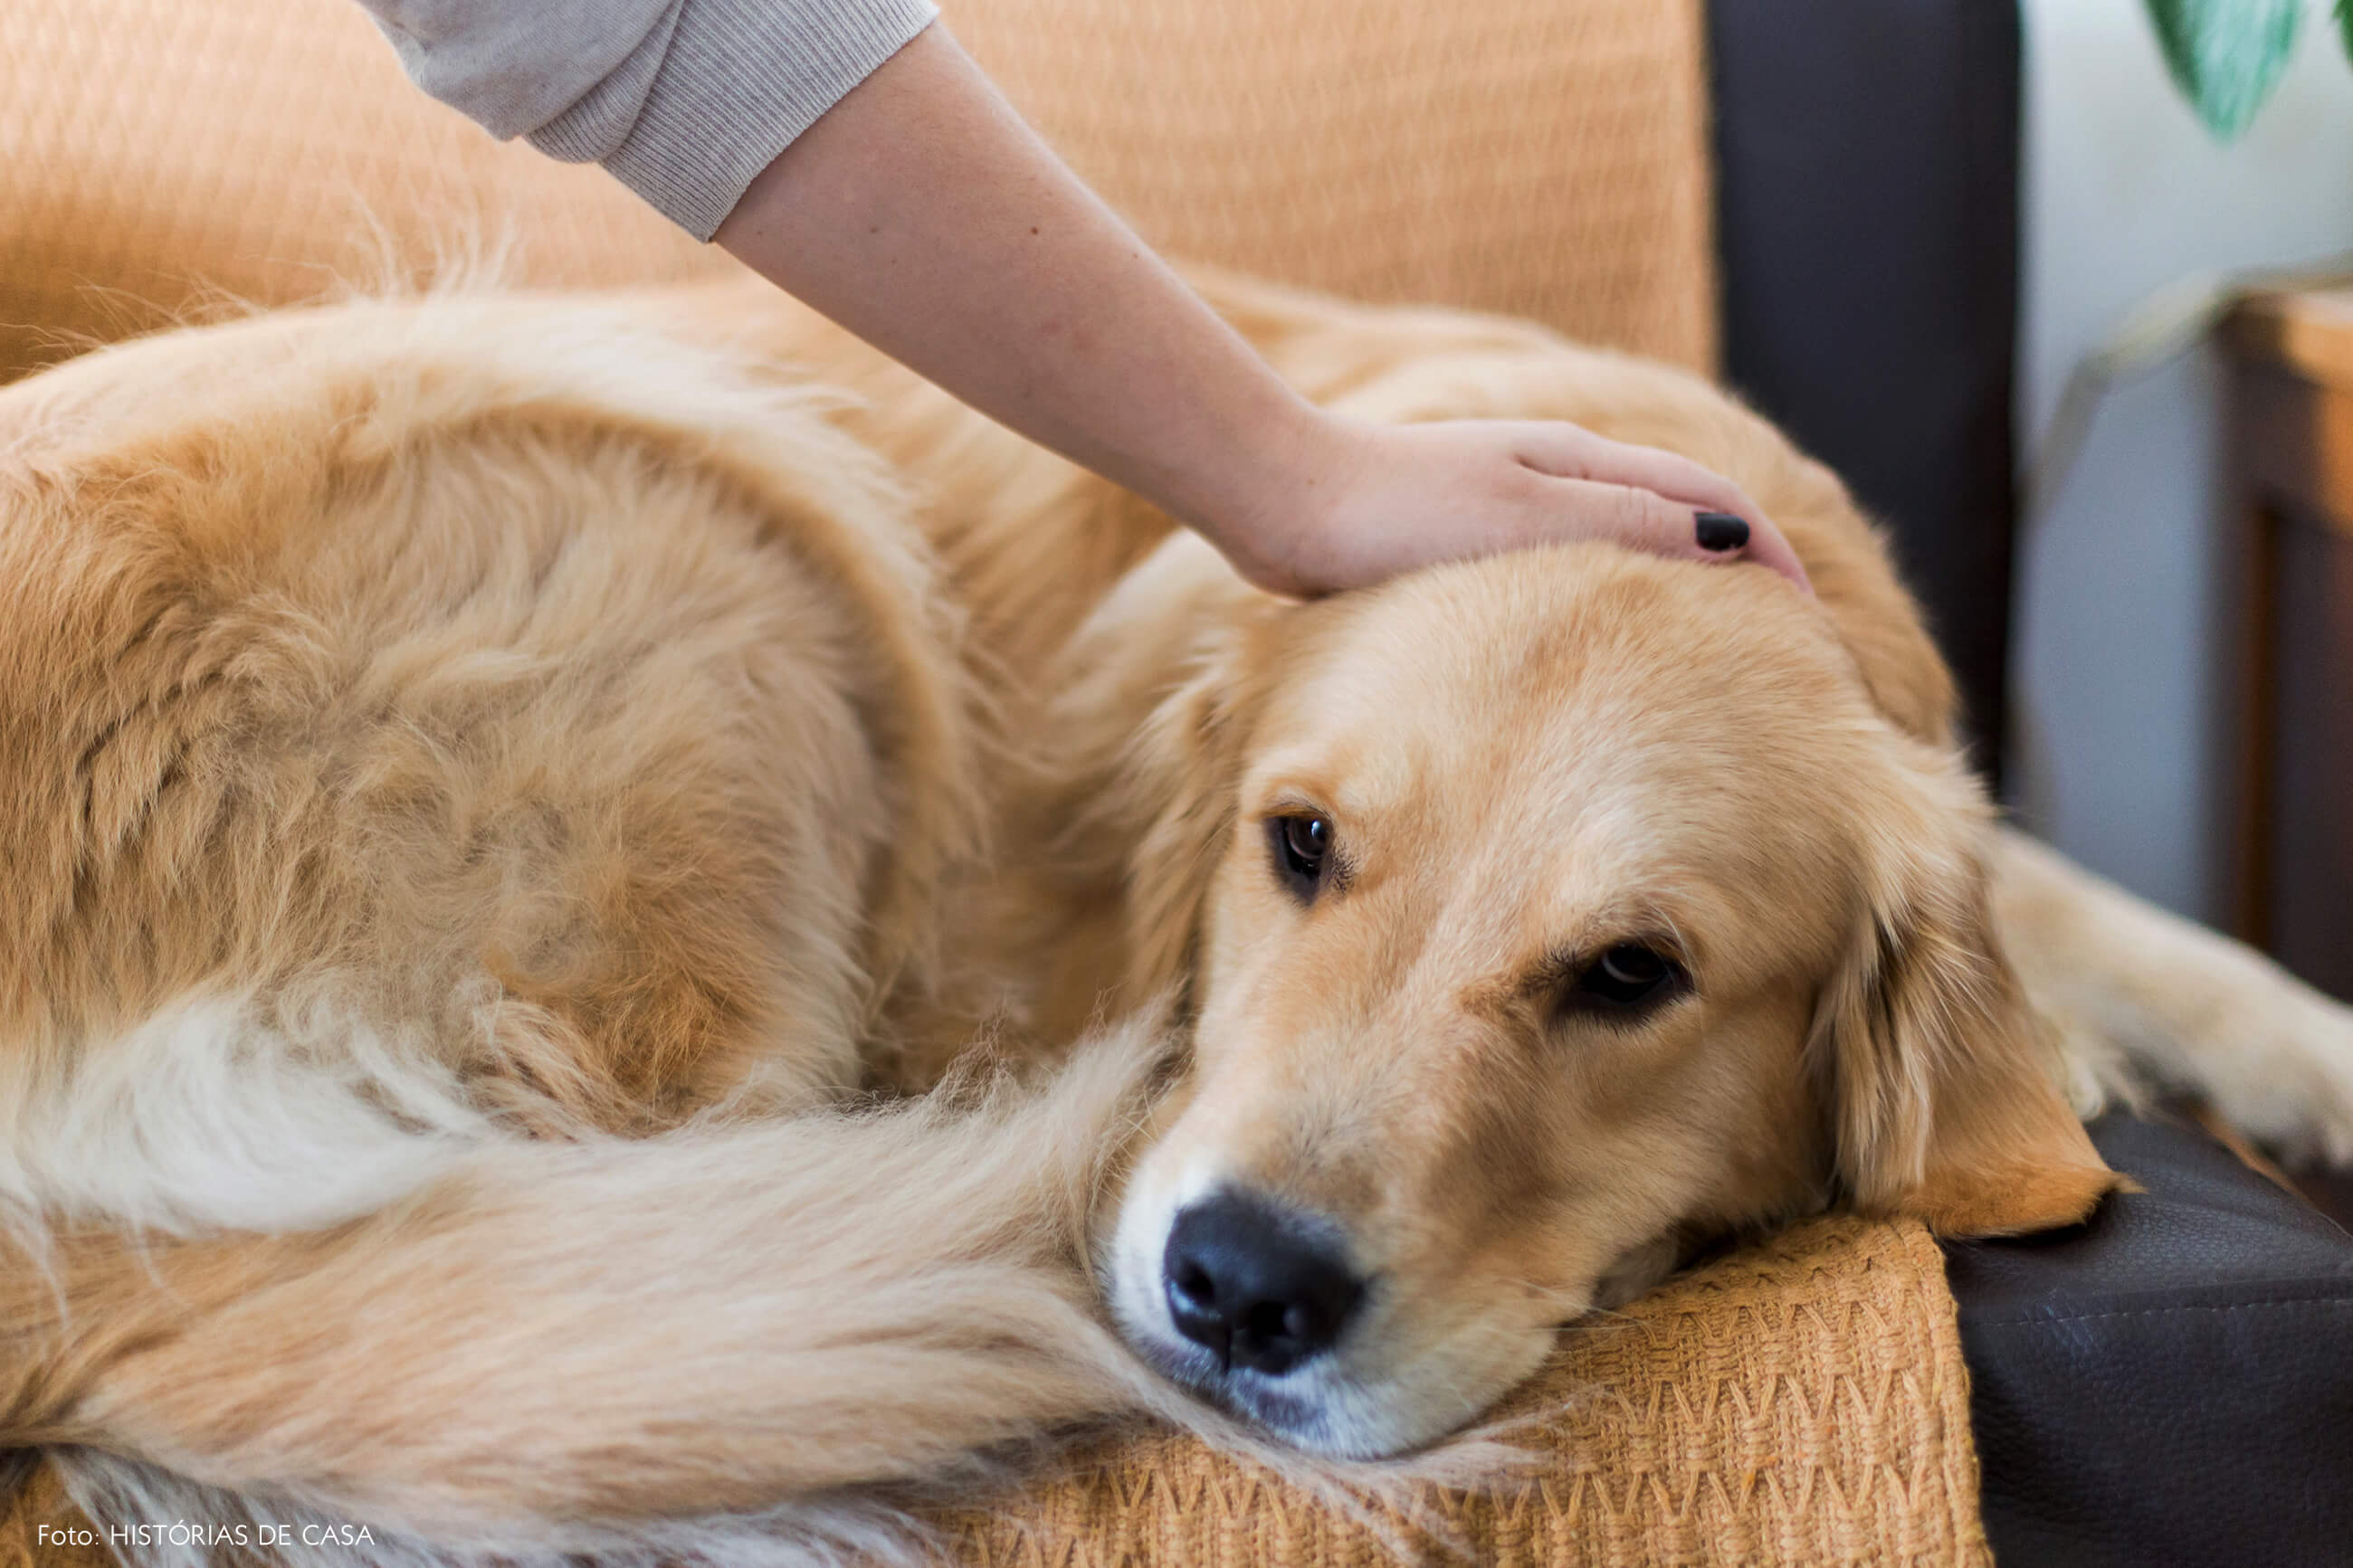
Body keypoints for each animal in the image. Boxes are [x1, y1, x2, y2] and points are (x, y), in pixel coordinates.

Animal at [0, 272, 2343, 1561]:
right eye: (1296, 843)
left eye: (1633, 974)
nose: (1238, 1284)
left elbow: (2101, 905)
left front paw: (2274, 1048)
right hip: (730, 519)